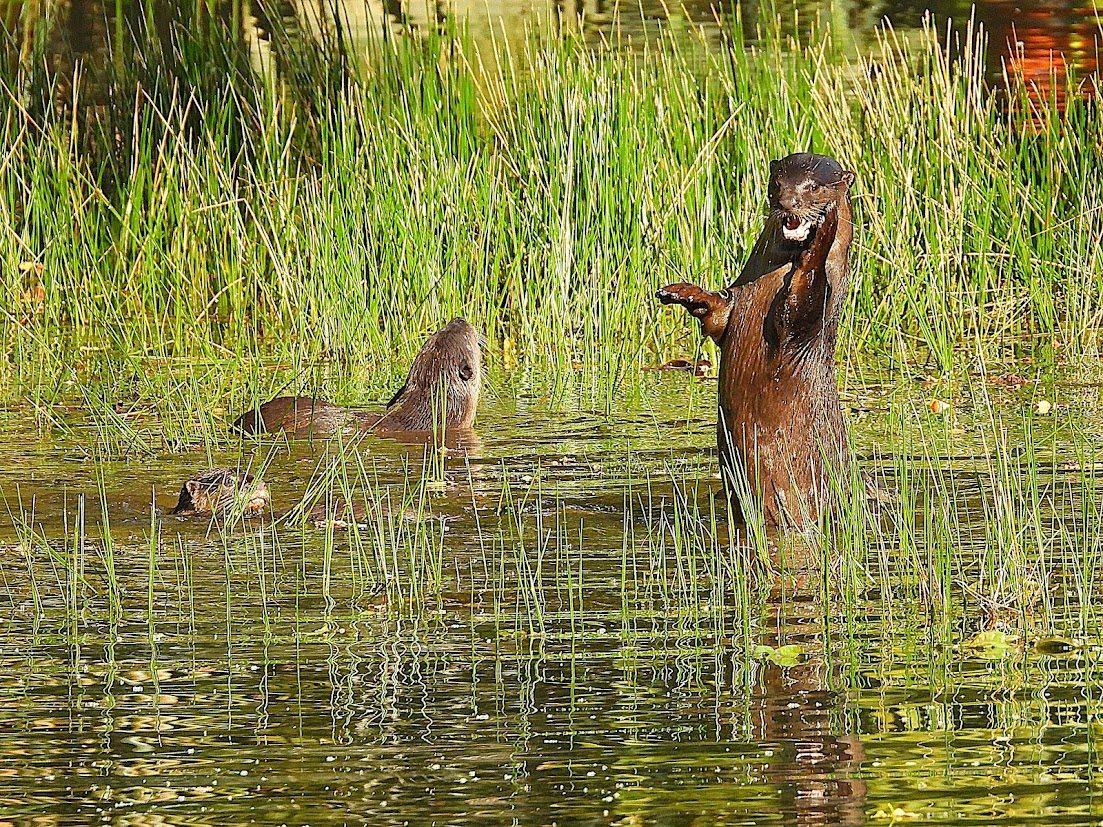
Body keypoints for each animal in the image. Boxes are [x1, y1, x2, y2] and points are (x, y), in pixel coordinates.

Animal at [657, 153, 855, 526]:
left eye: (814, 187)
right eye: (778, 182)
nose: (789, 203)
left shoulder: (811, 318)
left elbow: (803, 295)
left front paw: (822, 236)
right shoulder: (736, 300)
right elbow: (718, 313)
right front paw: (683, 292)